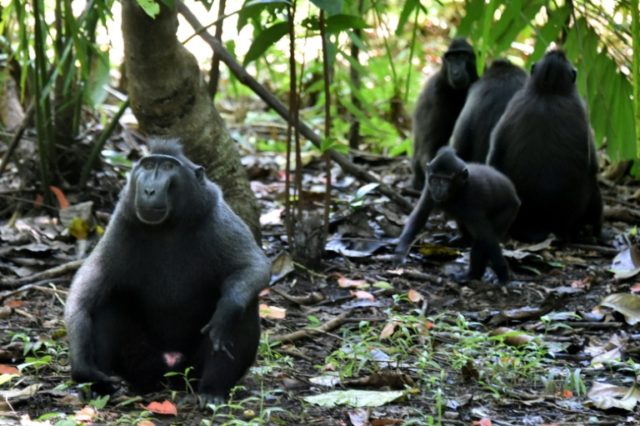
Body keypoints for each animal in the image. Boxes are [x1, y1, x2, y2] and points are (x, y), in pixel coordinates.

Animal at [64, 139, 271, 404]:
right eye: (148, 165)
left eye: (168, 167)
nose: (149, 190)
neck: (168, 227)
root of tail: (170, 370)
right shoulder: (121, 224)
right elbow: (85, 292)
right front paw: (82, 366)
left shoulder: (218, 218)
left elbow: (253, 266)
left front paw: (226, 312)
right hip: (141, 363)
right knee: (107, 301)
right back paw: (102, 388)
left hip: (191, 368)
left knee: (245, 306)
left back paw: (212, 390)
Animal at [396, 146, 520, 284]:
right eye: (435, 179)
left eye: (445, 180)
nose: (438, 188)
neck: (458, 189)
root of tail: (514, 196)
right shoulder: (428, 189)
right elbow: (419, 215)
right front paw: (400, 252)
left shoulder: (471, 197)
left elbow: (487, 238)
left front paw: (503, 274)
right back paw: (461, 241)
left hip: (508, 210)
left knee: (481, 239)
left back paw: (472, 275)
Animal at [487, 50, 602, 243]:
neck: (549, 91)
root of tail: (541, 225)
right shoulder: (580, 108)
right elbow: (594, 165)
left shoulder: (514, 103)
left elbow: (494, 155)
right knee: (594, 185)